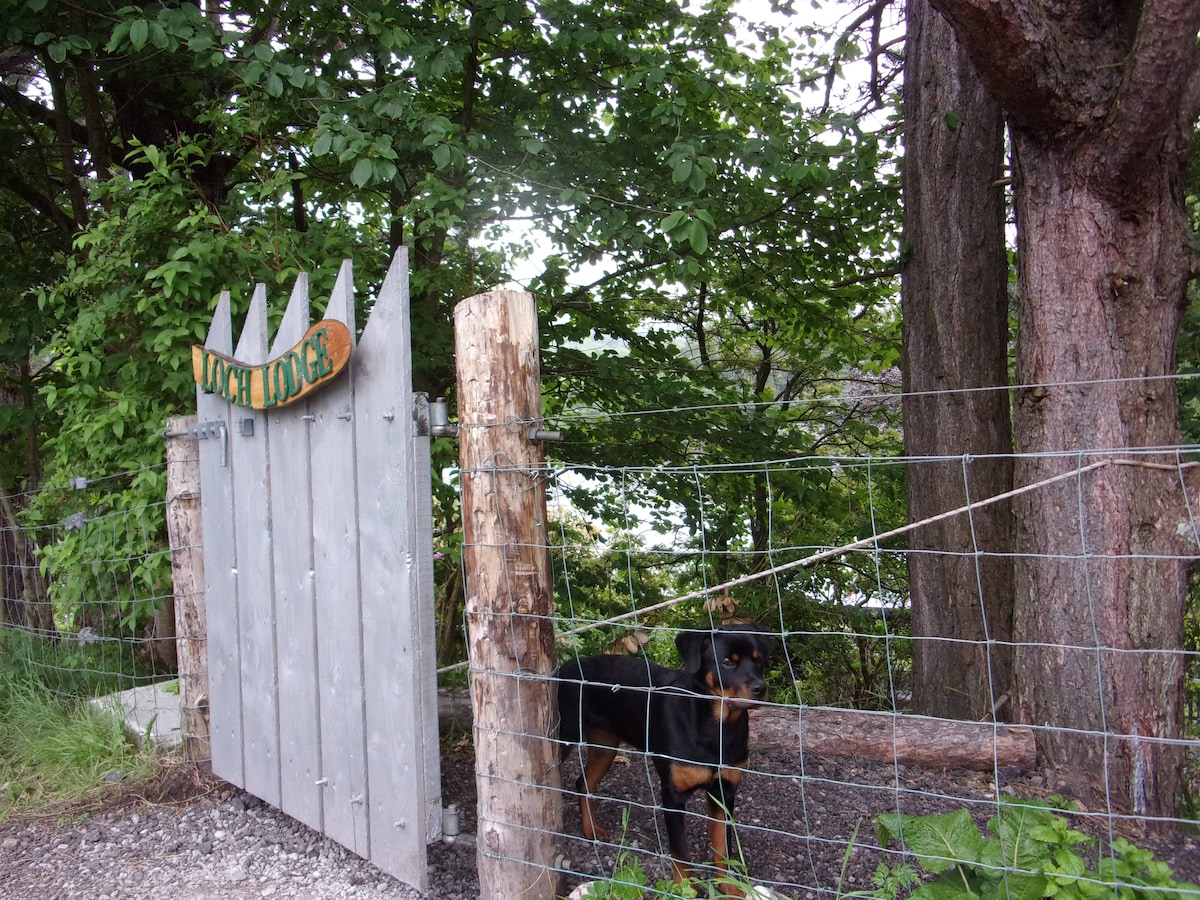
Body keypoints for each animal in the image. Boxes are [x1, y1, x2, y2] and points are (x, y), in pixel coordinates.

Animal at [556, 628, 772, 897]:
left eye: (759, 660)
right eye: (727, 662)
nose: (760, 688)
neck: (715, 726)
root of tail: (560, 669)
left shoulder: (724, 792)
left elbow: (723, 849)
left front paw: (730, 889)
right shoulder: (672, 795)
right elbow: (680, 853)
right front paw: (683, 890)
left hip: (606, 746)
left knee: (584, 783)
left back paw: (592, 830)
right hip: (563, 738)